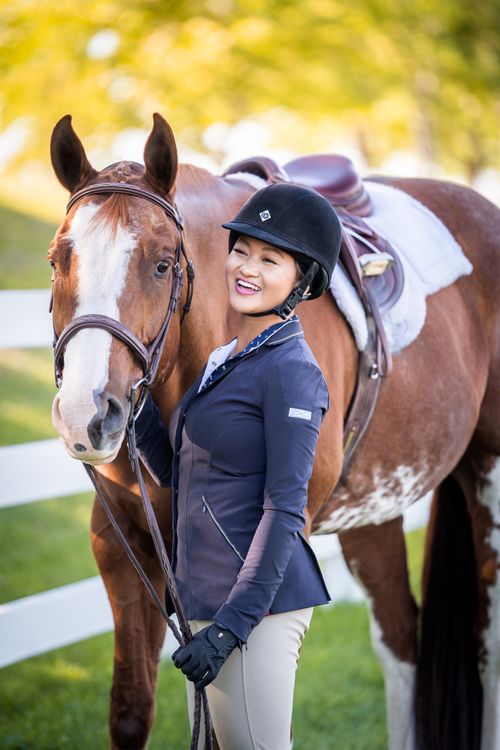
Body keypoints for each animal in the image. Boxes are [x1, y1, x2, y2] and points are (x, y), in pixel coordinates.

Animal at [48, 112, 500, 750]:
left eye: (162, 263)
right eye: (57, 260)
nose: (87, 414)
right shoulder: (120, 542)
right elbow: (134, 711)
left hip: (488, 474)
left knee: (488, 647)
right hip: (375, 509)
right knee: (400, 638)